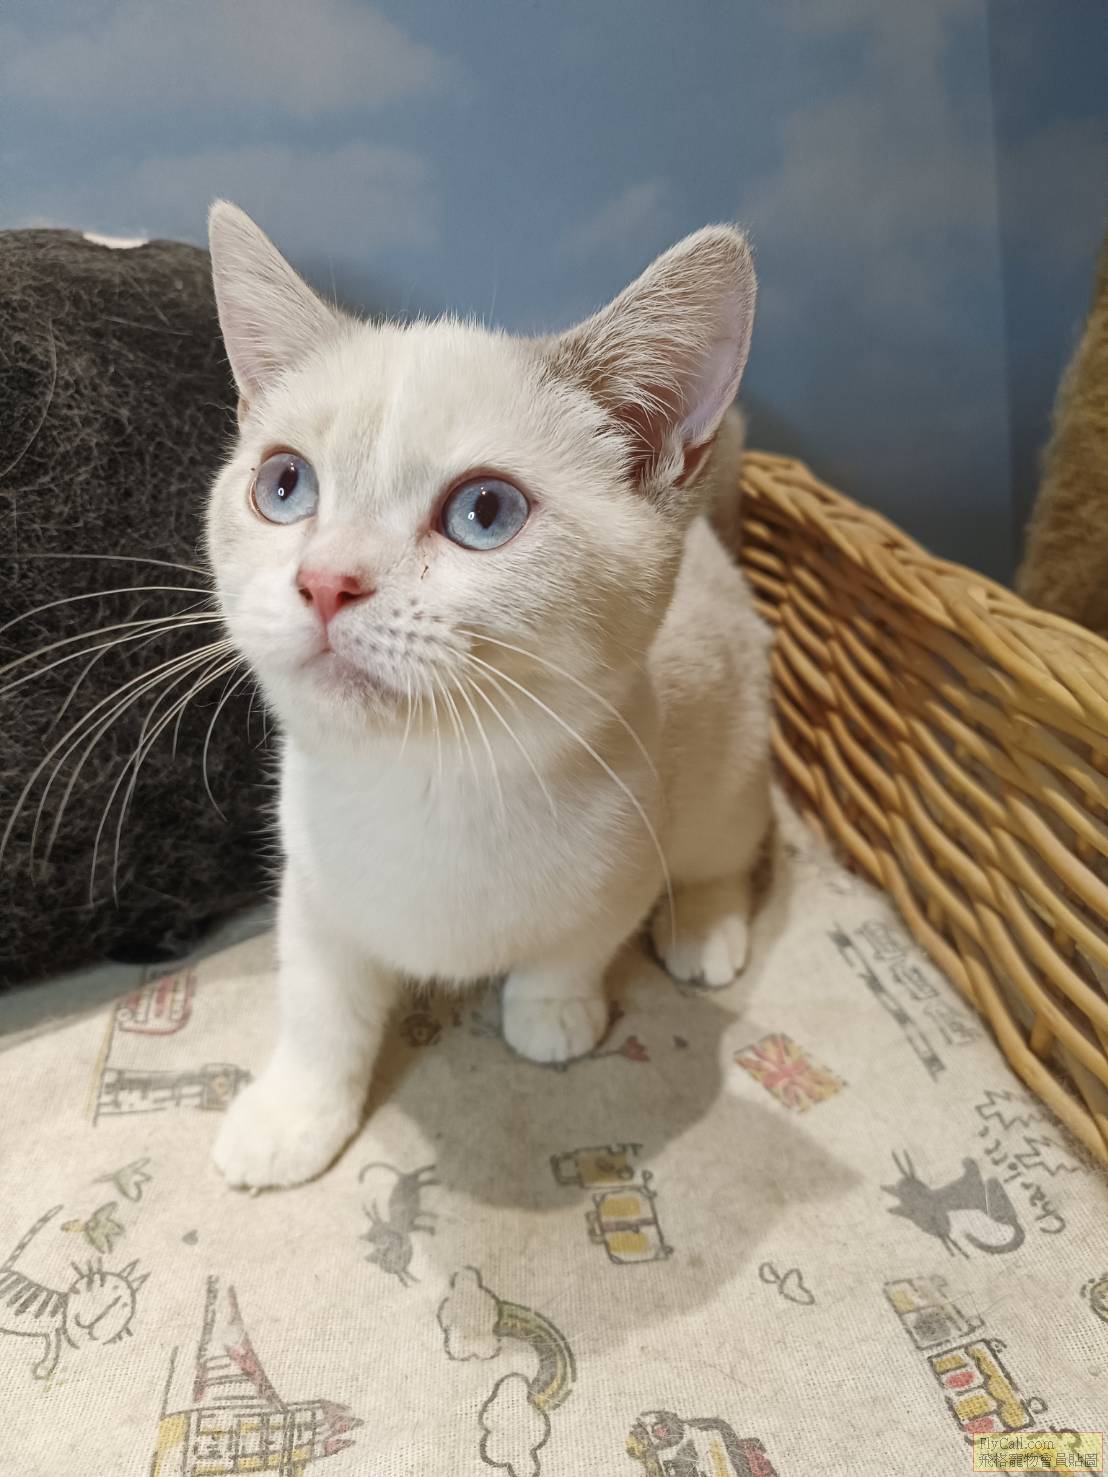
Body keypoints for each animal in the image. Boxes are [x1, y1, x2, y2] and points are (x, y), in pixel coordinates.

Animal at [204, 202, 772, 1188]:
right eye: (283, 485)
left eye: (485, 512)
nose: (325, 580)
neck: (429, 785)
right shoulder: (312, 890)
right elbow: (318, 1006)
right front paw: (292, 1114)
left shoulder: (631, 848)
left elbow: (574, 947)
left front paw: (552, 1014)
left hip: (729, 766)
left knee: (728, 848)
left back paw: (703, 929)